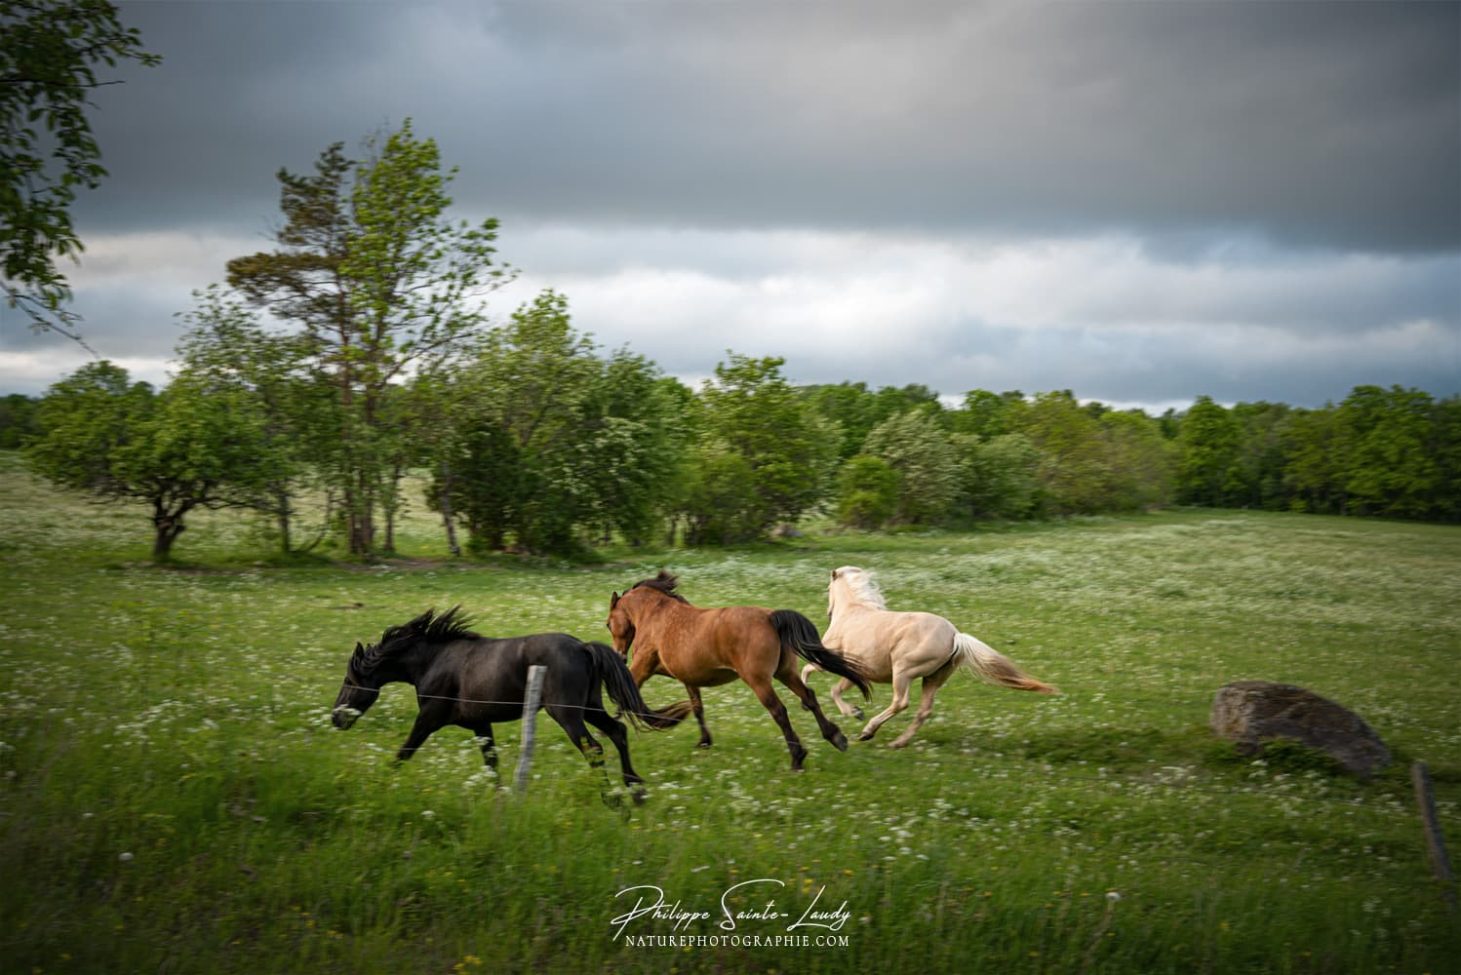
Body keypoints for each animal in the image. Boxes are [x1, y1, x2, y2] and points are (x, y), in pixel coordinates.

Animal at [330, 607, 691, 801]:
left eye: (349, 681)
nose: (336, 718)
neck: (434, 660)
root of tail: (583, 647)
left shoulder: (429, 718)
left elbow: (404, 752)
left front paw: (380, 785)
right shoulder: (479, 724)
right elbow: (492, 764)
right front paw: (501, 798)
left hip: (568, 714)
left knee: (594, 748)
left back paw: (613, 799)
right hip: (590, 708)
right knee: (617, 732)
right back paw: (635, 789)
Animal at [604, 571, 871, 771]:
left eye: (608, 623)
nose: (619, 655)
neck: (655, 616)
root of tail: (771, 617)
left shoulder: (642, 667)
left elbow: (630, 699)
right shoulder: (688, 678)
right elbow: (697, 708)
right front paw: (704, 742)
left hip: (758, 680)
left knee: (779, 711)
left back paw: (797, 757)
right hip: (784, 672)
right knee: (809, 697)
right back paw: (835, 737)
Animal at [802, 566, 1057, 748]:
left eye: (828, 589)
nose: (828, 613)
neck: (852, 612)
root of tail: (955, 636)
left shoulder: (828, 661)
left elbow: (809, 673)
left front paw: (818, 705)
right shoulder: (854, 671)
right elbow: (836, 689)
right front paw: (854, 711)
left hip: (903, 671)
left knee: (901, 702)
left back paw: (869, 731)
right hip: (933, 678)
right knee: (924, 711)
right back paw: (898, 742)